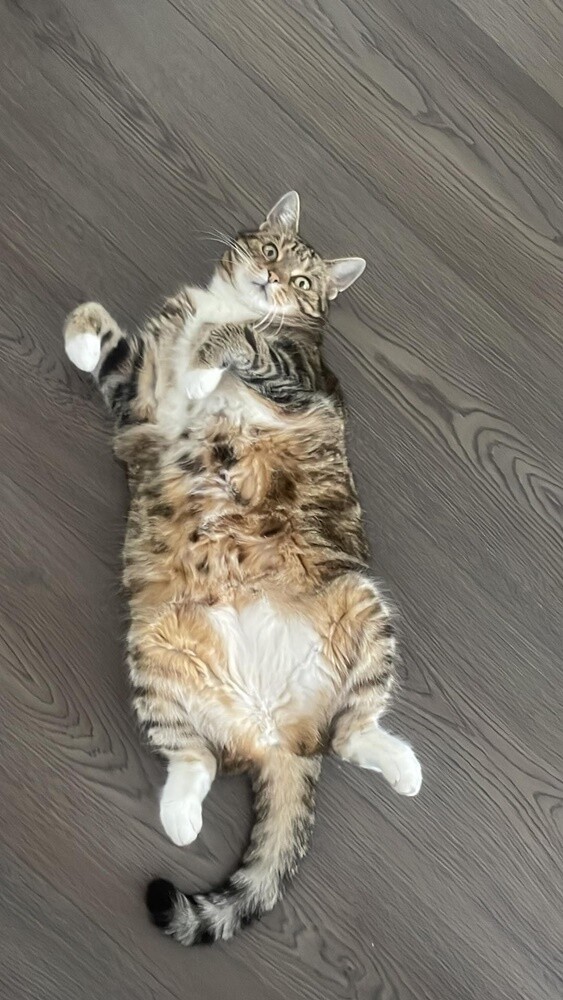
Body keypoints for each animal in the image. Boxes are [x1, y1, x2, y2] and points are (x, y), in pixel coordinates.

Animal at [64, 191, 422, 946]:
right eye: (271, 251)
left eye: (304, 281)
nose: (273, 279)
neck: (227, 303)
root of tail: (277, 734)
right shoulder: (143, 398)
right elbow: (112, 348)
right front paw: (84, 334)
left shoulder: (300, 379)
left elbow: (239, 343)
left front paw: (209, 362)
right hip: (153, 650)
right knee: (194, 758)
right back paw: (180, 816)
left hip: (360, 602)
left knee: (351, 735)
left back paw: (401, 766)